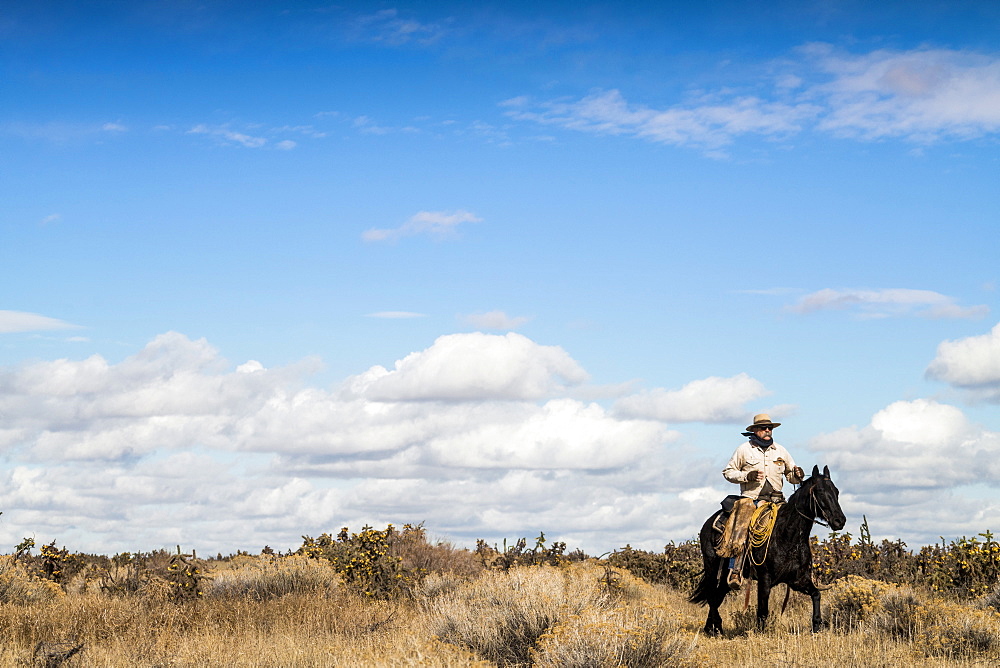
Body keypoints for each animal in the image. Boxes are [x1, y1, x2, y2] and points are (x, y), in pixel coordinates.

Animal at [692, 468, 848, 636]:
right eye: (820, 491)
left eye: (836, 491)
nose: (840, 520)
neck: (788, 535)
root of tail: (708, 523)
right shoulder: (764, 578)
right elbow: (762, 610)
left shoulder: (797, 580)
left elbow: (816, 594)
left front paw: (817, 625)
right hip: (712, 568)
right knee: (712, 596)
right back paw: (715, 628)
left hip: (723, 578)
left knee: (717, 596)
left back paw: (713, 628)